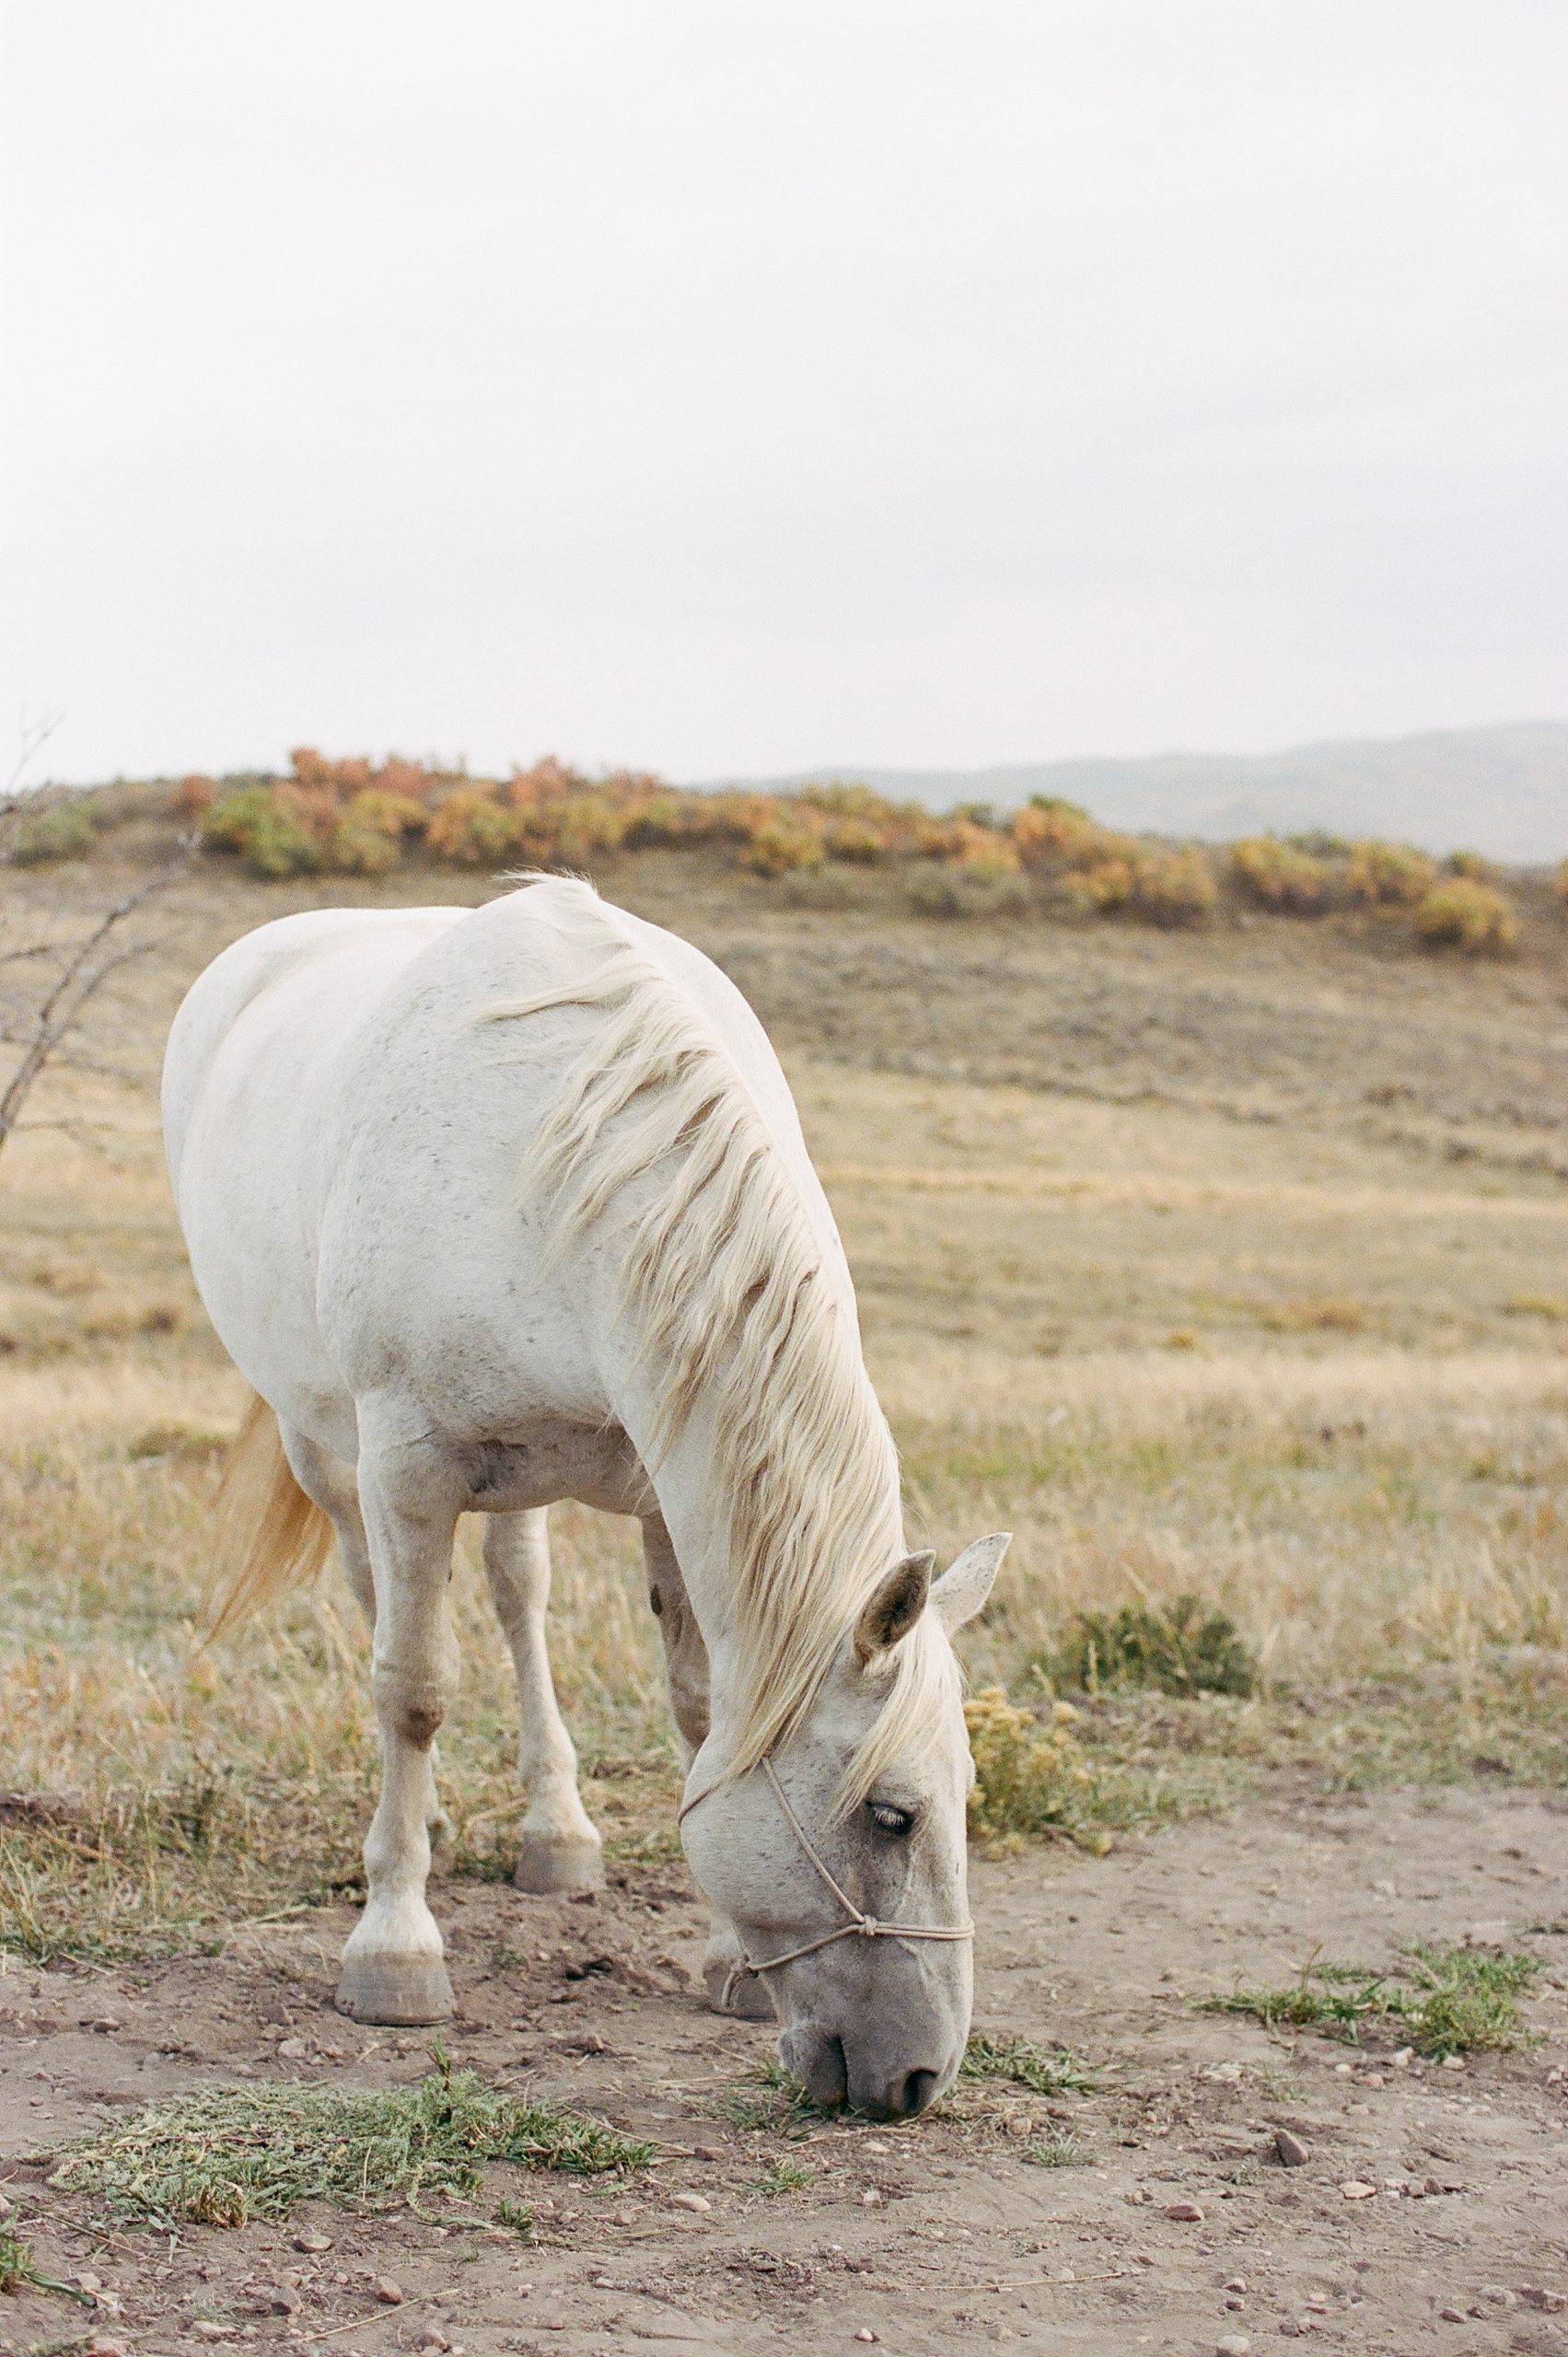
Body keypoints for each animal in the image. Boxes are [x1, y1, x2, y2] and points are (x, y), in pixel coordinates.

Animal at [165, 881, 1004, 2121]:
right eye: (889, 1815)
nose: (919, 2077)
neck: (556, 1161)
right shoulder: (406, 1463)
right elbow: (410, 1690)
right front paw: (394, 1948)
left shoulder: (662, 1488)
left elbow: (700, 1709)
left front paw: (723, 1963)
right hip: (328, 1447)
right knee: (382, 1601)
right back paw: (418, 1829)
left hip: (515, 1477)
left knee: (517, 1592)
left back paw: (550, 1832)